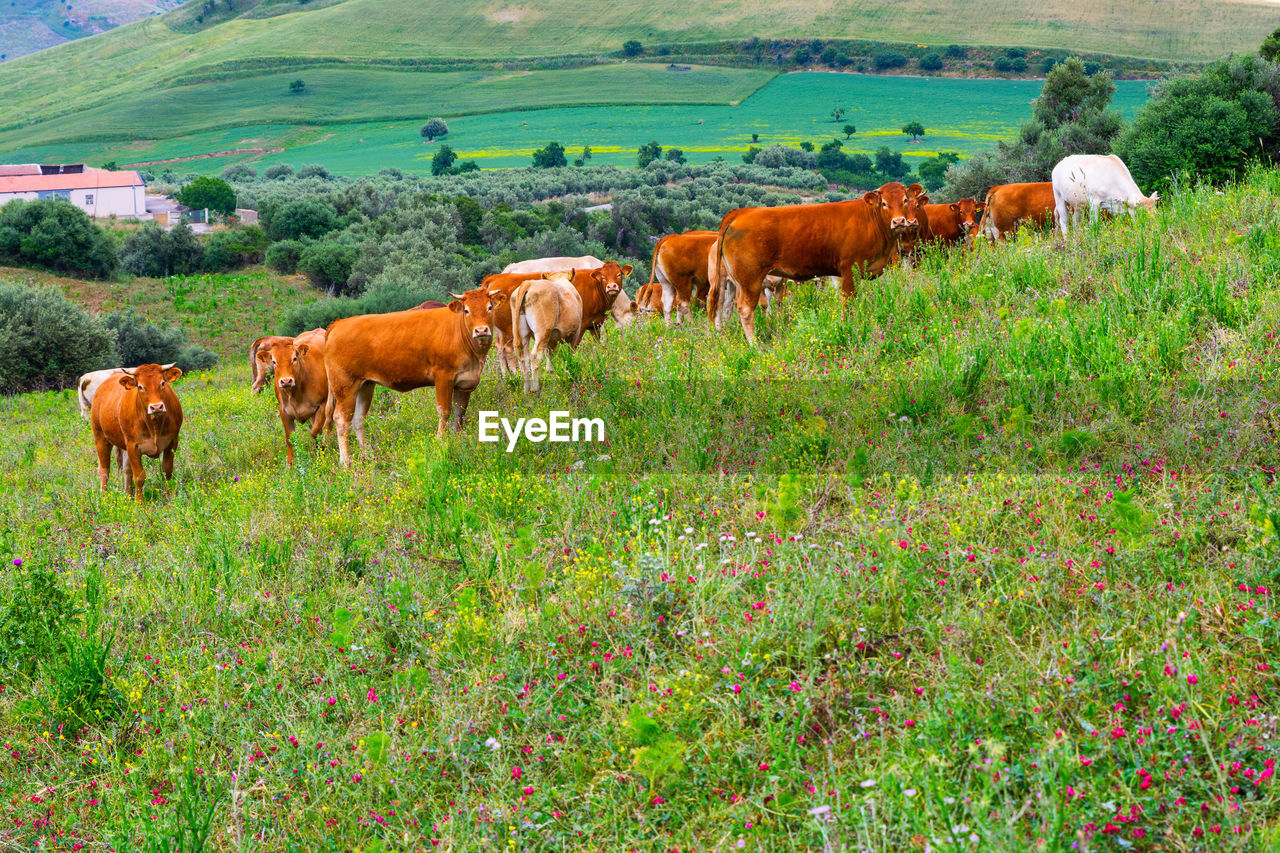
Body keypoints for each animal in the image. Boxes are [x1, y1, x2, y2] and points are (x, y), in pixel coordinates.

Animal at [90, 361, 184, 499]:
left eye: (162, 383)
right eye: (140, 386)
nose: (157, 407)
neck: (154, 425)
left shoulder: (172, 442)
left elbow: (168, 471)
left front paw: (170, 495)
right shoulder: (133, 446)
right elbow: (139, 477)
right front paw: (139, 502)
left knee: (126, 469)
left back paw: (128, 494)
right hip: (100, 437)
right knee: (104, 469)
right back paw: (104, 497)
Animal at [254, 327, 332, 466]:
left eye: (294, 358)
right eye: (274, 361)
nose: (286, 381)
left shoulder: (322, 404)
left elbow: (316, 432)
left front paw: (321, 454)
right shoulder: (284, 411)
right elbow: (289, 437)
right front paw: (290, 464)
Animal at [711, 183, 931, 343]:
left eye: (904, 200)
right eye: (884, 203)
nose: (899, 221)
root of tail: (740, 213)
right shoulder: (850, 269)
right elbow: (848, 302)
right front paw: (849, 327)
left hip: (736, 282)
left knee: (726, 306)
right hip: (750, 280)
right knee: (745, 309)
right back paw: (754, 345)